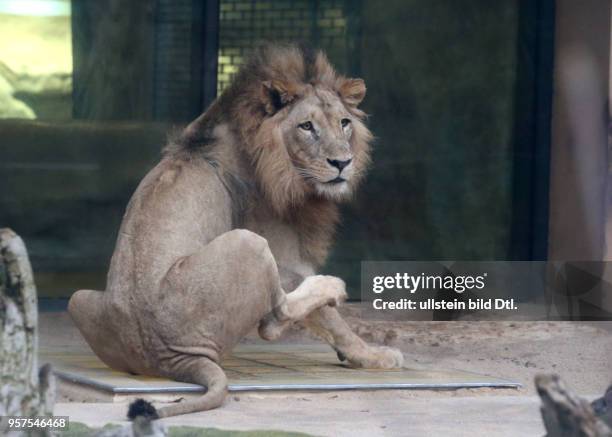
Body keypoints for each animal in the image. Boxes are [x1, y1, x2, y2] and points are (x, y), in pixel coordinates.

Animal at [68, 42, 402, 418]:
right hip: (249, 242)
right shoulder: (286, 257)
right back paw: (331, 286)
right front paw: (373, 355)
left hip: (77, 299)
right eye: (306, 126)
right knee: (274, 319)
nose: (343, 163)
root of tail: (172, 360)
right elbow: (333, 321)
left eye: (344, 123)